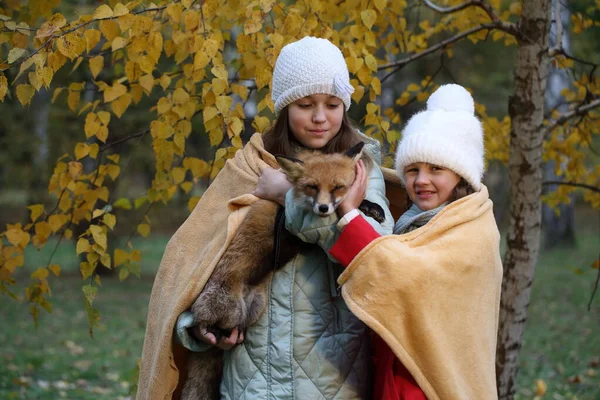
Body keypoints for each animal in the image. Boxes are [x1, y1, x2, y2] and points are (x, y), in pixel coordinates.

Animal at [180, 142, 384, 398]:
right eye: (312, 187)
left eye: (338, 187)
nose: (323, 208)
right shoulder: (290, 221)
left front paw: (372, 207)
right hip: (226, 313)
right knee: (214, 333)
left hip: (253, 310)